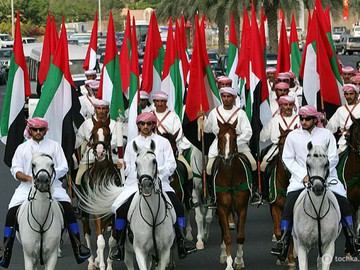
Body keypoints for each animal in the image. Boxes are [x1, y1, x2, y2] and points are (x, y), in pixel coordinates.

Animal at [80, 117, 121, 270]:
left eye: (108, 134)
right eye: (93, 134)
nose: (99, 152)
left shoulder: (113, 214)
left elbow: (111, 240)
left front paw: (108, 264)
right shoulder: (96, 211)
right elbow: (100, 241)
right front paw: (101, 264)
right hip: (85, 213)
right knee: (87, 233)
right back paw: (92, 262)